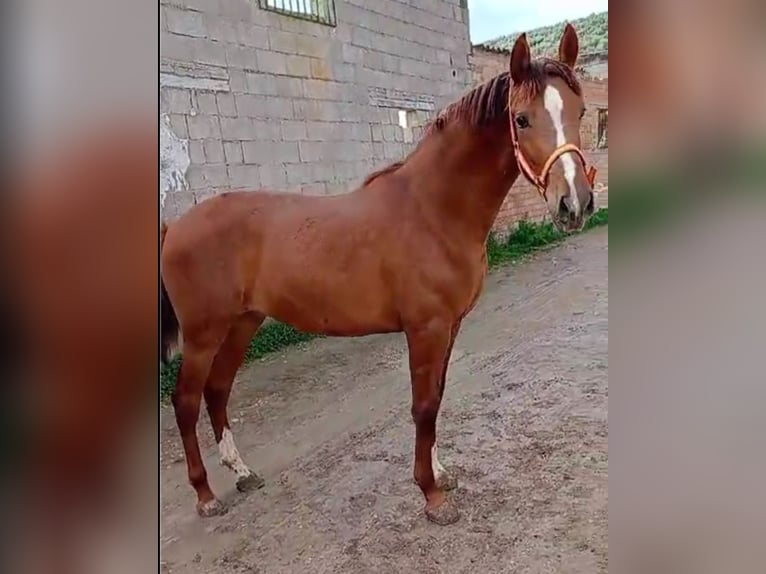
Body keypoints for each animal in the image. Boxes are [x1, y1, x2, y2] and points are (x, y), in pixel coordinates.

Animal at [160, 25, 592, 528]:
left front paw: (441, 475)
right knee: (186, 401)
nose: (575, 205)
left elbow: (437, 398)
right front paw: (431, 496)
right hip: (204, 333)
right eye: (521, 119)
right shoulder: (425, 329)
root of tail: (176, 226)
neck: (433, 209)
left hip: (243, 323)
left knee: (217, 391)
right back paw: (206, 494)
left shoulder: (449, 326)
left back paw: (243, 473)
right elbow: (423, 407)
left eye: (580, 112)